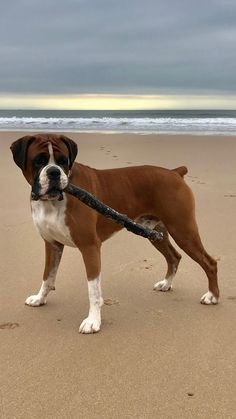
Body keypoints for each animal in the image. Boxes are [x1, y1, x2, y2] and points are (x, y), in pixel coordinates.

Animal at [10, 135, 218, 334]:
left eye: (63, 161)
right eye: (39, 161)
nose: (54, 171)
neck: (52, 202)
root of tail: (175, 172)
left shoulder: (90, 247)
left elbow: (93, 290)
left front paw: (93, 321)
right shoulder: (52, 244)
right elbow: (48, 276)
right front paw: (39, 298)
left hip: (183, 230)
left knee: (209, 262)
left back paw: (212, 296)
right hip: (156, 233)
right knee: (174, 256)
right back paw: (166, 284)